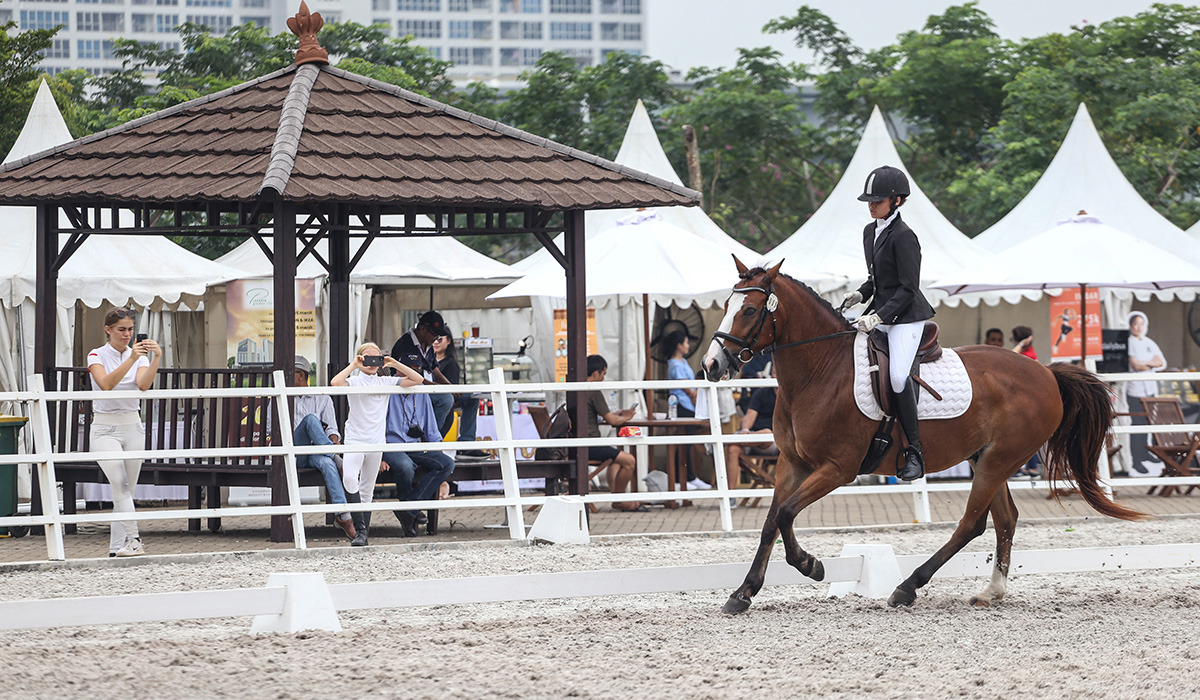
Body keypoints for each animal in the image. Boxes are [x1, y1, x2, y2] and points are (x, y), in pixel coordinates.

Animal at [700, 259, 1142, 614]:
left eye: (751, 310)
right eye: (725, 307)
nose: (711, 364)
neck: (821, 370)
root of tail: (1046, 372)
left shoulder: (838, 468)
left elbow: (788, 513)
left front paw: (812, 565)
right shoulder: (792, 464)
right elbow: (772, 521)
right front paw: (743, 593)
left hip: (999, 460)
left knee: (971, 524)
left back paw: (907, 588)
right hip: (989, 458)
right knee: (1005, 520)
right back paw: (991, 592)